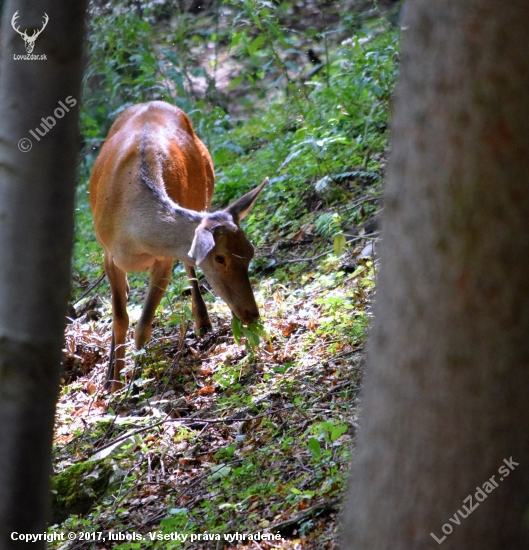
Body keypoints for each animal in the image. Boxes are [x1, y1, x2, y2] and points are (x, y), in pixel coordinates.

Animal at [90, 100, 268, 392]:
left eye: (250, 253)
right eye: (220, 258)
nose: (251, 315)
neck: (133, 236)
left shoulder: (164, 260)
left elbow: (143, 324)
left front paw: (135, 384)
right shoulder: (109, 254)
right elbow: (120, 319)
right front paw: (114, 386)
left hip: (205, 192)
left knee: (188, 265)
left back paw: (203, 322)